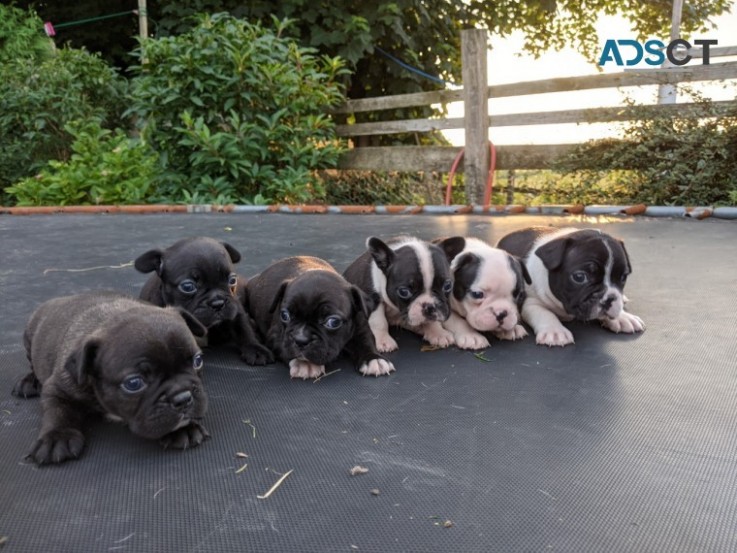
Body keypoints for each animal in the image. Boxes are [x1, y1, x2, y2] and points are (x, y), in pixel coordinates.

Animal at [134, 235, 272, 364]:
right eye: (188, 286)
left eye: (232, 280)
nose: (218, 303)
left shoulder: (235, 307)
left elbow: (242, 327)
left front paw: (255, 348)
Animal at [246, 256, 396, 380]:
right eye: (285, 315)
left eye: (333, 322)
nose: (300, 340)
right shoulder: (276, 336)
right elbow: (284, 348)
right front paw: (304, 364)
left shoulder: (361, 326)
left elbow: (366, 342)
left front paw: (374, 359)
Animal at [494, 225, 644, 344]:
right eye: (579, 277)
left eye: (623, 277)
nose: (609, 299)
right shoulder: (531, 302)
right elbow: (545, 313)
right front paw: (555, 331)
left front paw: (623, 317)